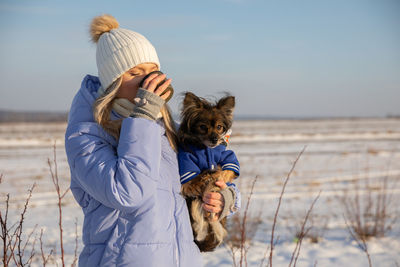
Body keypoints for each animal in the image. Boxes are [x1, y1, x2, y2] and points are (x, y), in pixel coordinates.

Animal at [177, 92, 239, 253]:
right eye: (203, 127)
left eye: (219, 127)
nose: (215, 139)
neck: (206, 149)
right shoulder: (187, 177)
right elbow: (200, 177)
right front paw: (210, 176)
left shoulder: (228, 158)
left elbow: (227, 169)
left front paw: (217, 176)